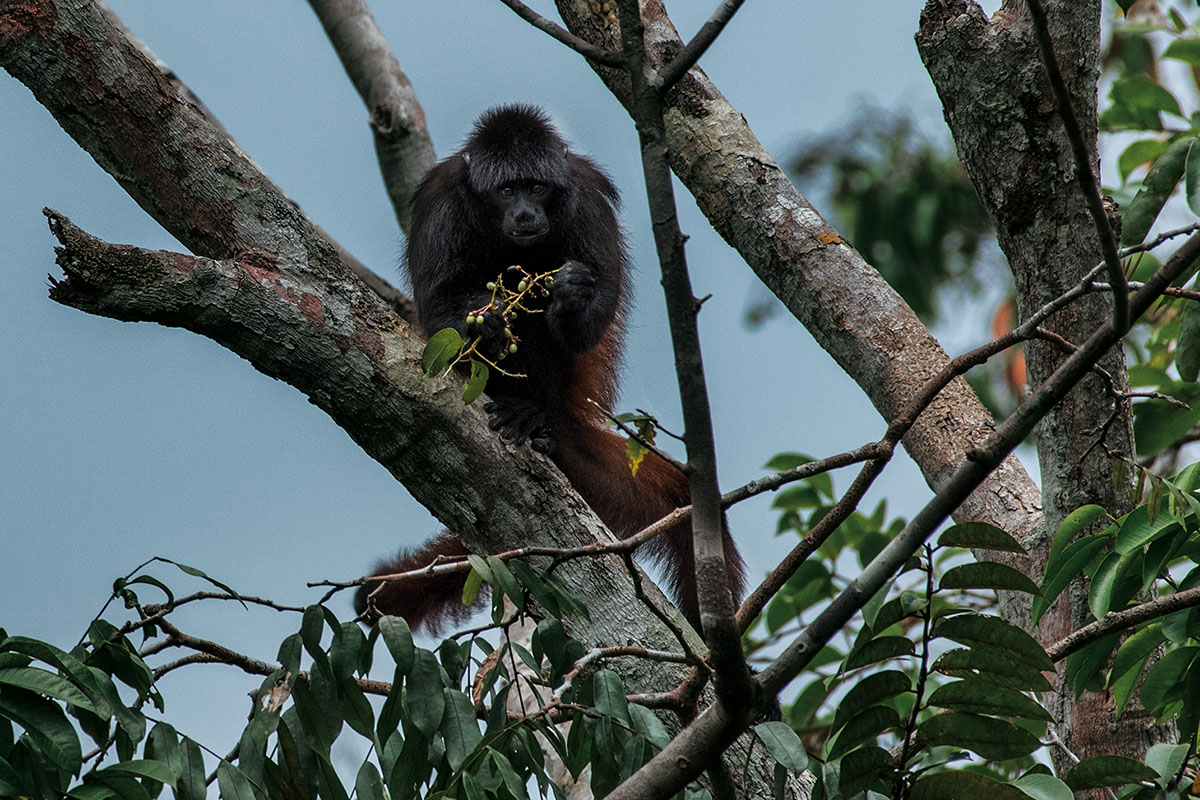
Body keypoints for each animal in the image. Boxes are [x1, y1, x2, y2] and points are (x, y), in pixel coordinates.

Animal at [352, 103, 739, 633]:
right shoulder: (441, 204)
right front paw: (486, 321)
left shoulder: (586, 200)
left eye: (536, 188)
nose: (524, 214)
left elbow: (594, 308)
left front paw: (573, 297)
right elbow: (438, 303)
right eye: (506, 191)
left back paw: (532, 419)